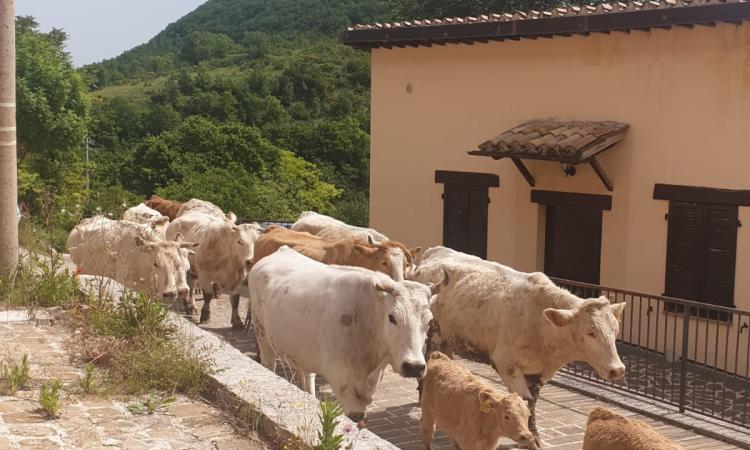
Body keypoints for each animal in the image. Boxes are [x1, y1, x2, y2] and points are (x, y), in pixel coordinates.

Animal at [248, 246, 446, 418]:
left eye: (429, 321)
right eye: (392, 317)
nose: (414, 367)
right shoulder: (343, 385)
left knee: (307, 374)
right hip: (262, 336)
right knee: (269, 364)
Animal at [414, 248, 624, 444]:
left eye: (615, 330)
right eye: (591, 332)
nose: (618, 369)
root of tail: (435, 251)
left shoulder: (537, 372)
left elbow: (533, 403)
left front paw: (535, 435)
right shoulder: (506, 365)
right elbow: (525, 400)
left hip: (448, 337)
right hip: (433, 334)